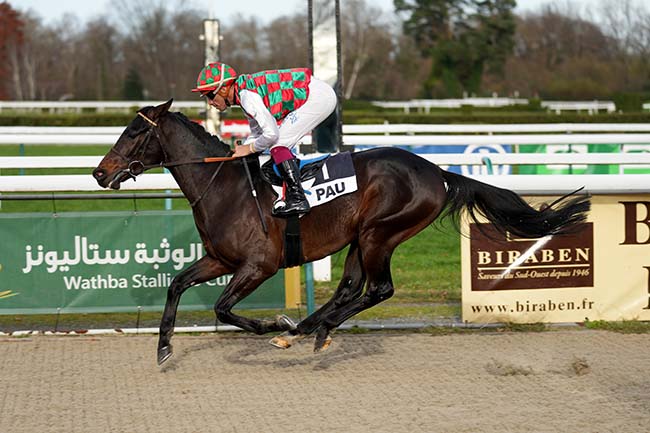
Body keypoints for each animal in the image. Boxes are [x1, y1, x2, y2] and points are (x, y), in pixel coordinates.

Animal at [93, 100, 588, 364]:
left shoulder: (258, 265)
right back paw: (309, 328)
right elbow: (177, 284)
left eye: (134, 131)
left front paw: (272, 322)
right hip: (358, 238)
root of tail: (439, 172)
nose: (100, 173)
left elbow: (222, 308)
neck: (225, 187)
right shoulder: (220, 259)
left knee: (378, 289)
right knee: (351, 287)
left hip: (379, 234)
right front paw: (163, 348)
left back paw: (309, 327)